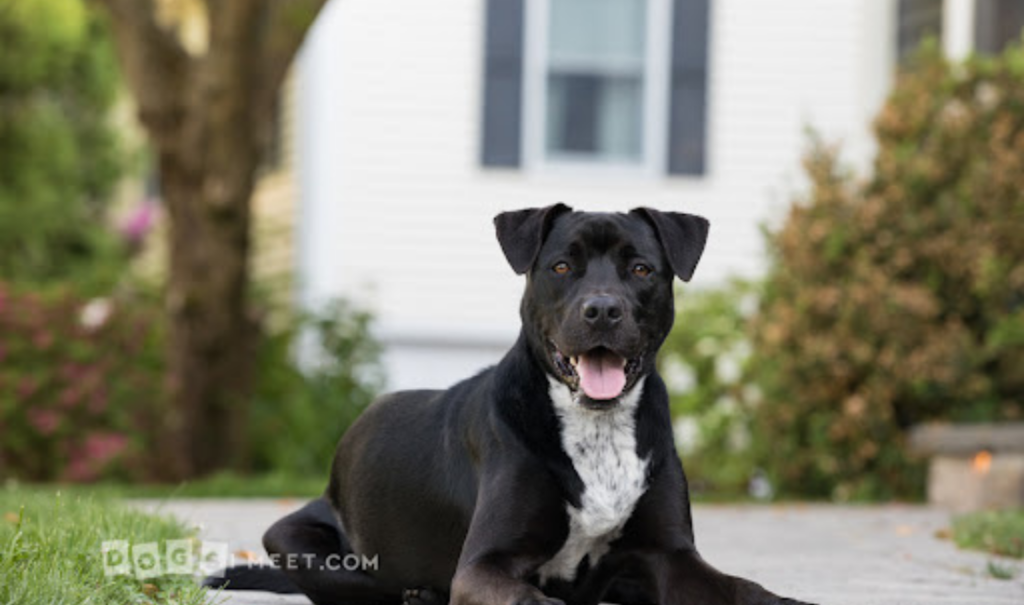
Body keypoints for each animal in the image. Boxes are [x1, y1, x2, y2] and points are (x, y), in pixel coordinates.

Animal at [209, 206, 815, 605]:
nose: (602, 310)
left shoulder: (671, 555)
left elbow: (747, 589)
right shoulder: (484, 565)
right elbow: (531, 601)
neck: (597, 426)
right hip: (291, 539)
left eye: (641, 269)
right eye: (562, 267)